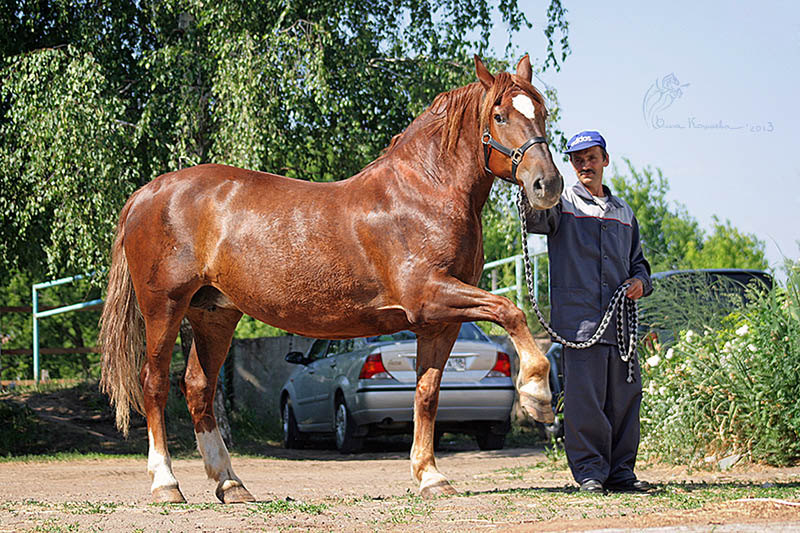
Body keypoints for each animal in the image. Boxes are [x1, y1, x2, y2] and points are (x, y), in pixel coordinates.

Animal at [98, 56, 564, 500]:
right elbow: (509, 310)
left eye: (541, 111)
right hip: (164, 306)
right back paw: (166, 484)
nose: (547, 184)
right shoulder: (430, 295)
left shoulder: (438, 322)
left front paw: (430, 476)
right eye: (500, 115)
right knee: (154, 383)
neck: (424, 194)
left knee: (198, 387)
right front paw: (537, 396)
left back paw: (231, 485)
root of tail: (146, 194)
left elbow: (427, 394)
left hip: (214, 314)